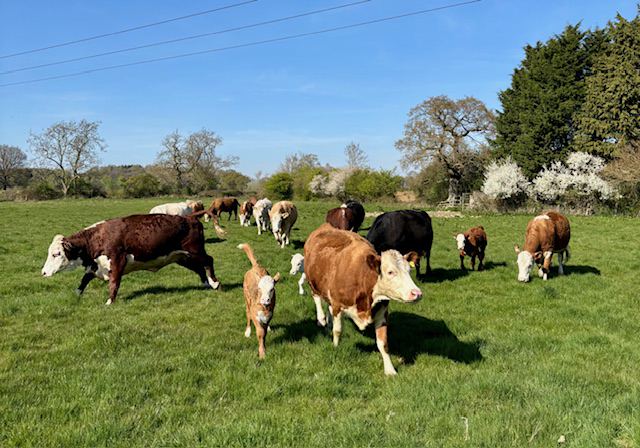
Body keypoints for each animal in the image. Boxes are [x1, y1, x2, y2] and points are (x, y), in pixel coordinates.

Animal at [41, 214, 220, 305]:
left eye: (56, 254)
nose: (43, 272)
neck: (97, 239)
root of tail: (191, 218)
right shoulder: (95, 266)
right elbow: (83, 281)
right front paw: (76, 295)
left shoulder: (117, 262)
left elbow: (114, 283)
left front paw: (109, 302)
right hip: (182, 256)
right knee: (199, 267)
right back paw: (206, 284)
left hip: (195, 251)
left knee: (208, 260)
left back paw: (215, 283)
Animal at [304, 224, 422, 375]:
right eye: (390, 272)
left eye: (409, 271)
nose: (417, 293)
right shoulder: (338, 305)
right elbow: (338, 330)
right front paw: (335, 347)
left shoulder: (382, 312)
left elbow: (383, 343)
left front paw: (390, 370)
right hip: (312, 282)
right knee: (317, 298)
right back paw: (321, 319)